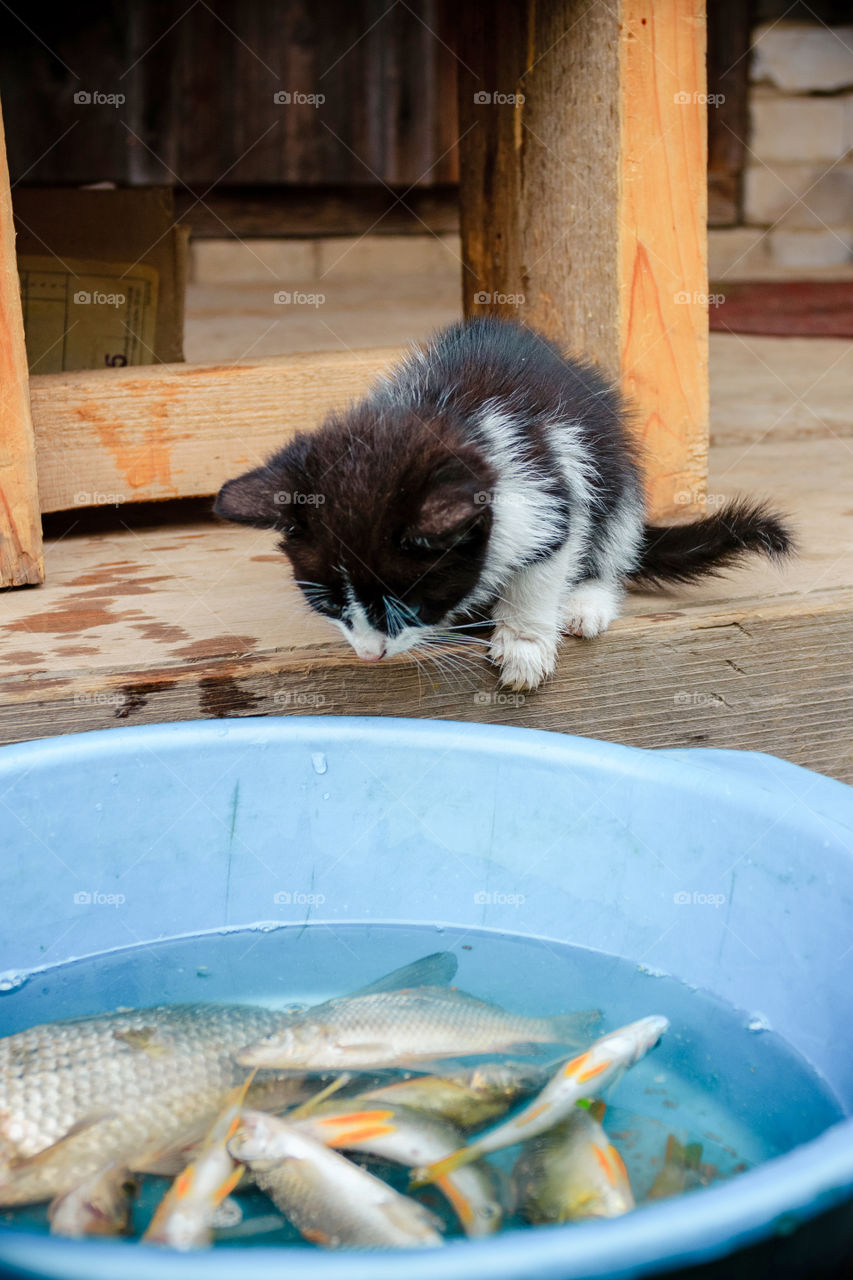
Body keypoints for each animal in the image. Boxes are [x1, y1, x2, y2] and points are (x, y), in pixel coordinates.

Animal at [213, 318, 788, 691]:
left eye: (405, 607)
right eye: (330, 606)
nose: (370, 655)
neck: (439, 416)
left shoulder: (549, 481)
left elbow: (545, 562)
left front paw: (524, 645)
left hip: (617, 467)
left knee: (613, 538)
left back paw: (586, 600)